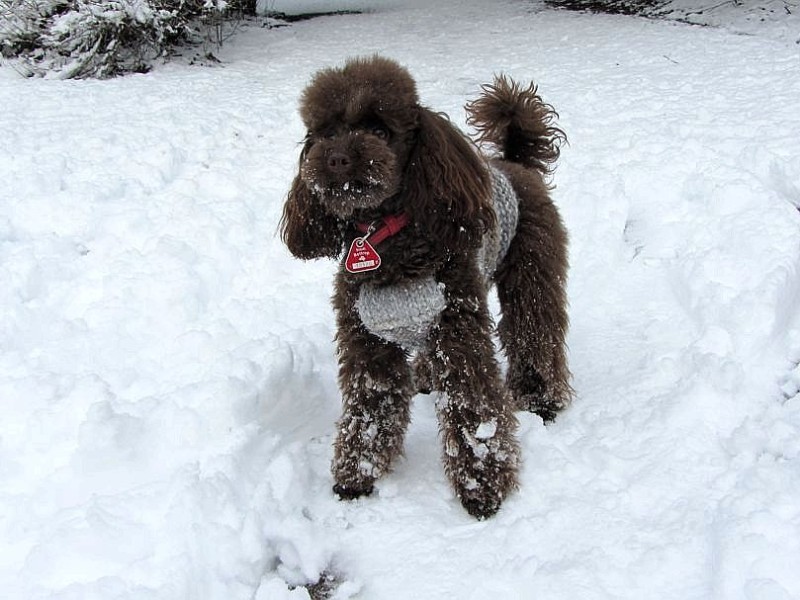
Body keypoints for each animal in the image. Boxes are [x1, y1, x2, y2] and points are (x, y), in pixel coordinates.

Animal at [280, 56, 568, 520]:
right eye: (324, 133)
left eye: (380, 130)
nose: (337, 159)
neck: (384, 235)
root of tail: (516, 164)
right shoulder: (368, 343)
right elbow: (371, 407)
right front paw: (358, 475)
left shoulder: (459, 332)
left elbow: (473, 408)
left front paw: (483, 488)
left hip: (530, 274)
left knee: (534, 331)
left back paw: (541, 400)